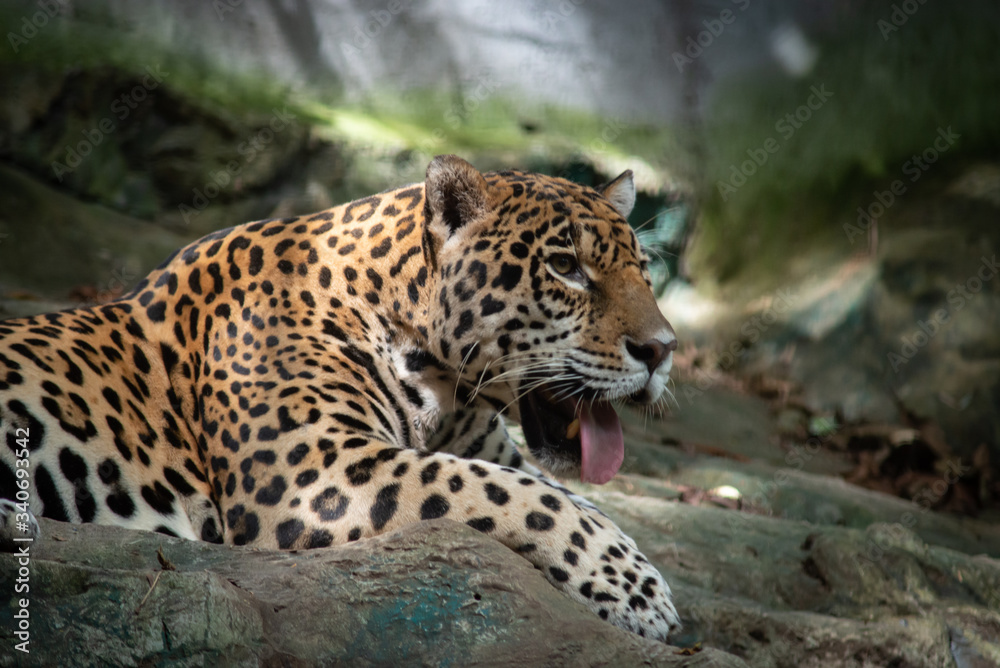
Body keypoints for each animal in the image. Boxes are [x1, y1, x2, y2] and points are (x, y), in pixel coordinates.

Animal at [0, 155, 680, 640]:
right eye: (565, 267)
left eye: (643, 270)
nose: (662, 349)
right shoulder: (311, 472)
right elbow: (508, 493)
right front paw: (637, 590)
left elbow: (561, 493)